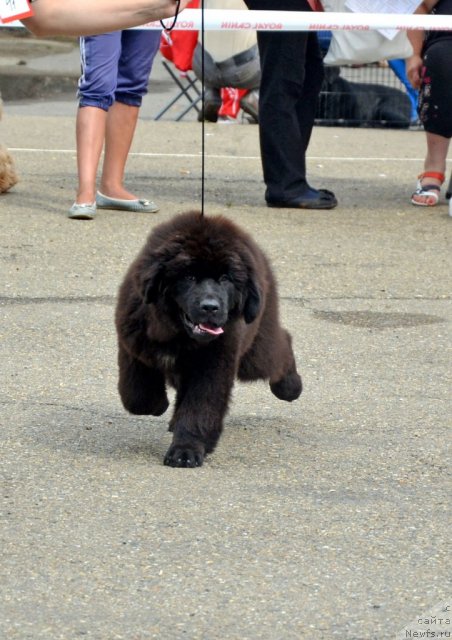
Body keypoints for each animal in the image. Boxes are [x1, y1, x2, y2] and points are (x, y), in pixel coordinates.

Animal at [115, 212, 302, 468]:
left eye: (225, 278)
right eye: (189, 276)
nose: (210, 307)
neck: (177, 335)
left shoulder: (214, 363)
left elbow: (201, 406)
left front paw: (186, 451)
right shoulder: (133, 346)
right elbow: (137, 397)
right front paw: (159, 406)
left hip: (255, 350)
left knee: (279, 346)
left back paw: (291, 386)